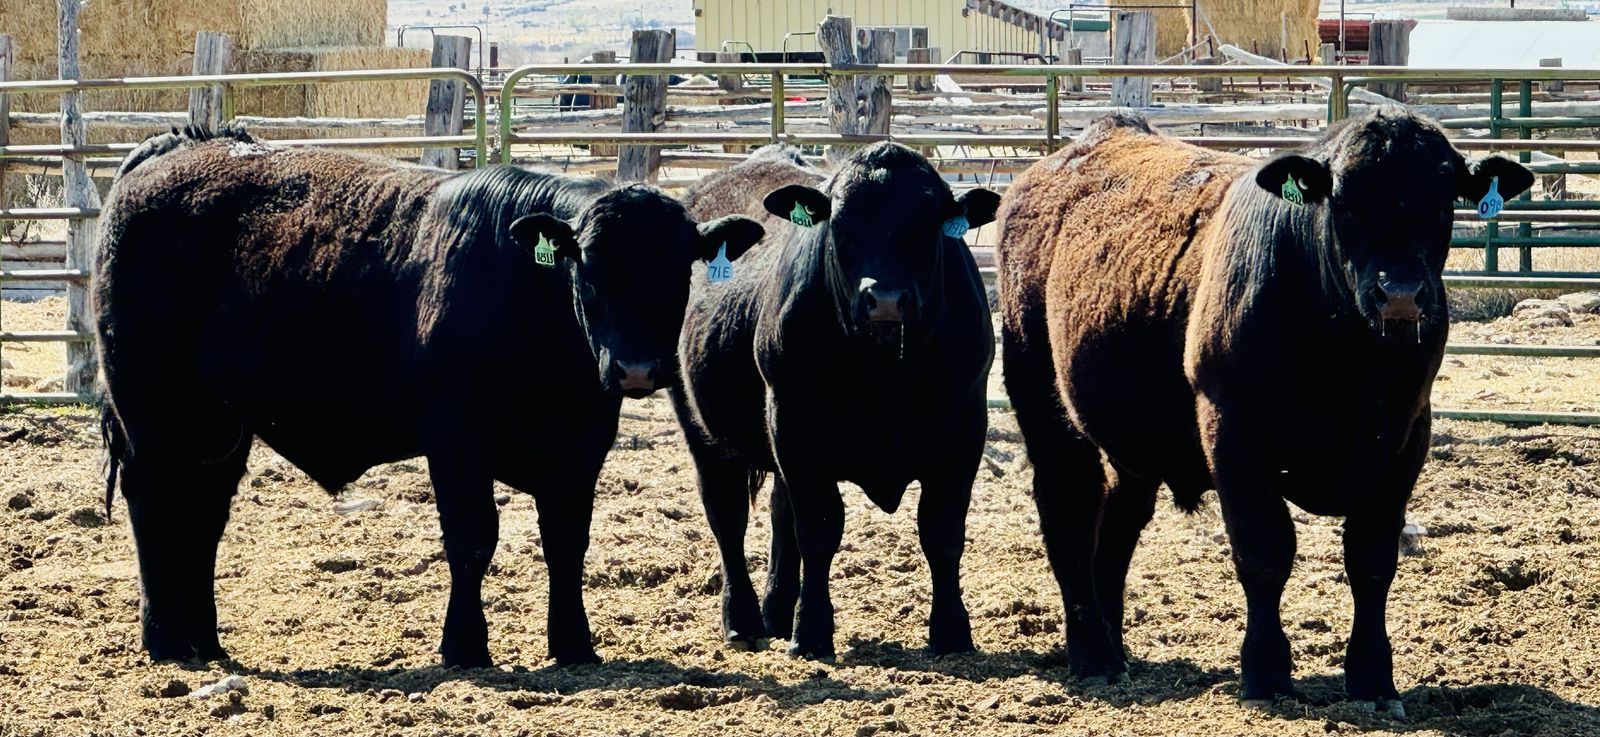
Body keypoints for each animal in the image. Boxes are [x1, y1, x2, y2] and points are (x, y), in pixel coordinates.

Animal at [94, 125, 764, 668]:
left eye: (679, 270)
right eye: (589, 268)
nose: (636, 369)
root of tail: (175, 148)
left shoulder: (582, 445)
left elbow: (566, 541)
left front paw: (574, 644)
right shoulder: (455, 437)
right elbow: (471, 537)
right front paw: (464, 646)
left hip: (217, 426)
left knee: (201, 513)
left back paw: (203, 641)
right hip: (152, 410)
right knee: (153, 503)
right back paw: (164, 640)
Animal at [671, 142, 1000, 659]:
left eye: (929, 226)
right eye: (840, 226)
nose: (884, 298)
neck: (886, 374)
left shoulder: (964, 430)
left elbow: (942, 531)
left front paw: (951, 632)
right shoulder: (796, 429)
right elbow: (819, 530)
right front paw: (811, 632)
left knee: (779, 515)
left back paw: (775, 612)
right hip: (702, 429)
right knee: (727, 516)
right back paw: (742, 621)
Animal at [995, 109, 1534, 710]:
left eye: (1443, 202)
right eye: (1343, 203)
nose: (1399, 296)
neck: (1353, 365)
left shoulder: (1406, 438)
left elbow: (1372, 560)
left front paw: (1373, 680)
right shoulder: (1233, 433)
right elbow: (1265, 549)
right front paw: (1265, 673)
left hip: (1133, 443)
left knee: (1116, 526)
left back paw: (1115, 650)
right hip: (1042, 402)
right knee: (1066, 513)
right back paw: (1092, 657)